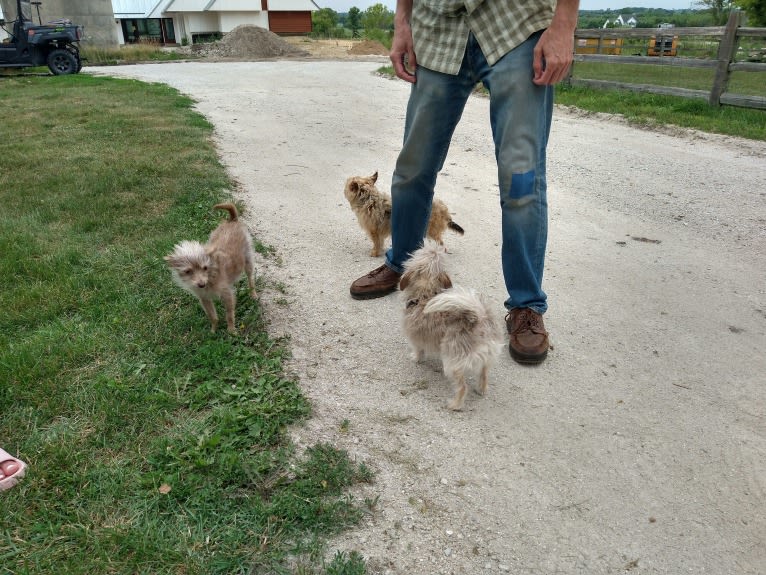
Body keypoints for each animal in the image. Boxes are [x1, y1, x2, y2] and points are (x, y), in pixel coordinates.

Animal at [165, 205, 258, 336]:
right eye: (188, 271)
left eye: (205, 267)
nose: (201, 284)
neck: (211, 276)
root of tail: (232, 220)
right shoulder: (204, 299)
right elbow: (212, 316)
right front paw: (214, 330)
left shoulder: (227, 295)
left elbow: (229, 315)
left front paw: (231, 330)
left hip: (248, 261)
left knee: (250, 278)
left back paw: (253, 294)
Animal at [402, 241, 504, 412]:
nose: (437, 248)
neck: (425, 295)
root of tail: (479, 319)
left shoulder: (415, 338)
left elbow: (418, 350)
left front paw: (416, 358)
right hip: (486, 358)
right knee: (484, 374)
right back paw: (481, 389)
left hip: (452, 362)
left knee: (462, 387)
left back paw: (455, 405)